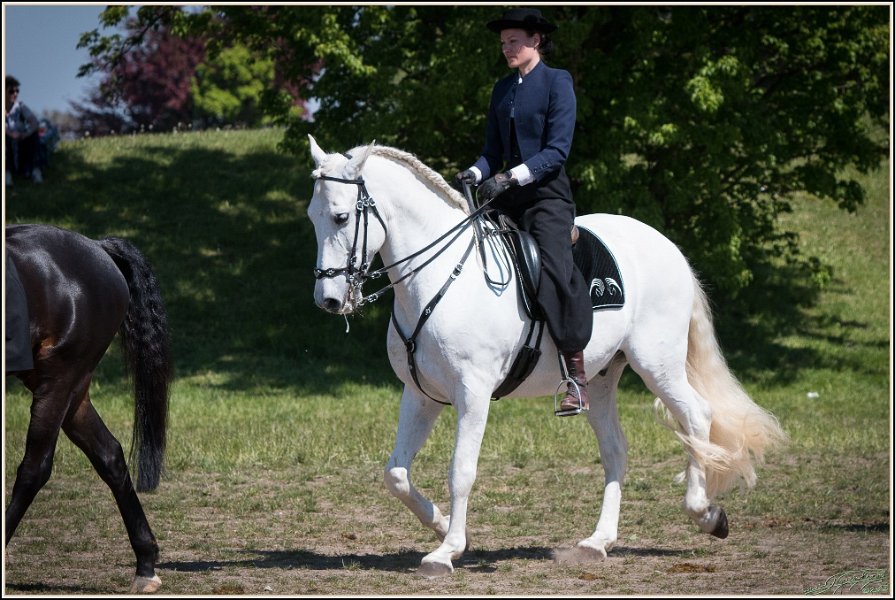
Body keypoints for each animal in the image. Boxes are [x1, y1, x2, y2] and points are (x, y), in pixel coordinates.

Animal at [4, 223, 172, 593]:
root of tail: (96, 246)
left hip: (60, 379)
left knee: (35, 468)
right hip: (71, 391)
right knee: (109, 455)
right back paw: (146, 562)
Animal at [306, 136, 786, 576]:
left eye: (342, 216)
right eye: (312, 217)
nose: (328, 300)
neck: (440, 277)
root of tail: (665, 245)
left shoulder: (472, 394)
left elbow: (461, 470)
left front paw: (446, 551)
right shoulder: (421, 394)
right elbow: (396, 473)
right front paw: (442, 526)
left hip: (657, 364)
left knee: (697, 416)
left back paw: (706, 514)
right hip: (601, 379)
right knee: (616, 450)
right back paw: (598, 542)